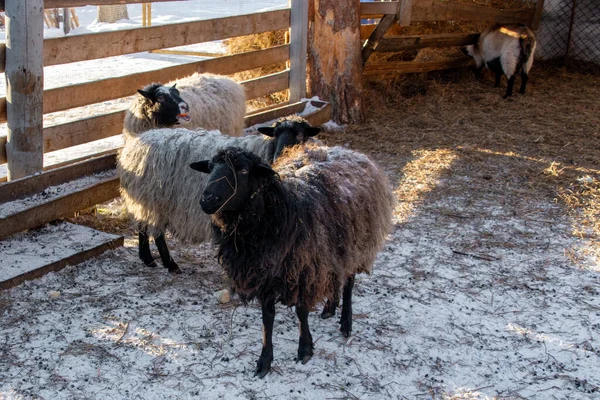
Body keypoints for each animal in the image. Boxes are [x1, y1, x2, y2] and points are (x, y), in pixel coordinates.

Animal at [191, 145, 394, 378]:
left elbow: (301, 311)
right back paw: (329, 307)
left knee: (349, 283)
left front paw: (305, 348)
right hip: (333, 252)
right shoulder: (265, 274)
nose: (207, 199)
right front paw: (264, 360)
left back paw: (345, 323)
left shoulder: (304, 270)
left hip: (356, 244)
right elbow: (267, 318)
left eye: (243, 170)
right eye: (210, 168)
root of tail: (350, 151)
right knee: (336, 277)